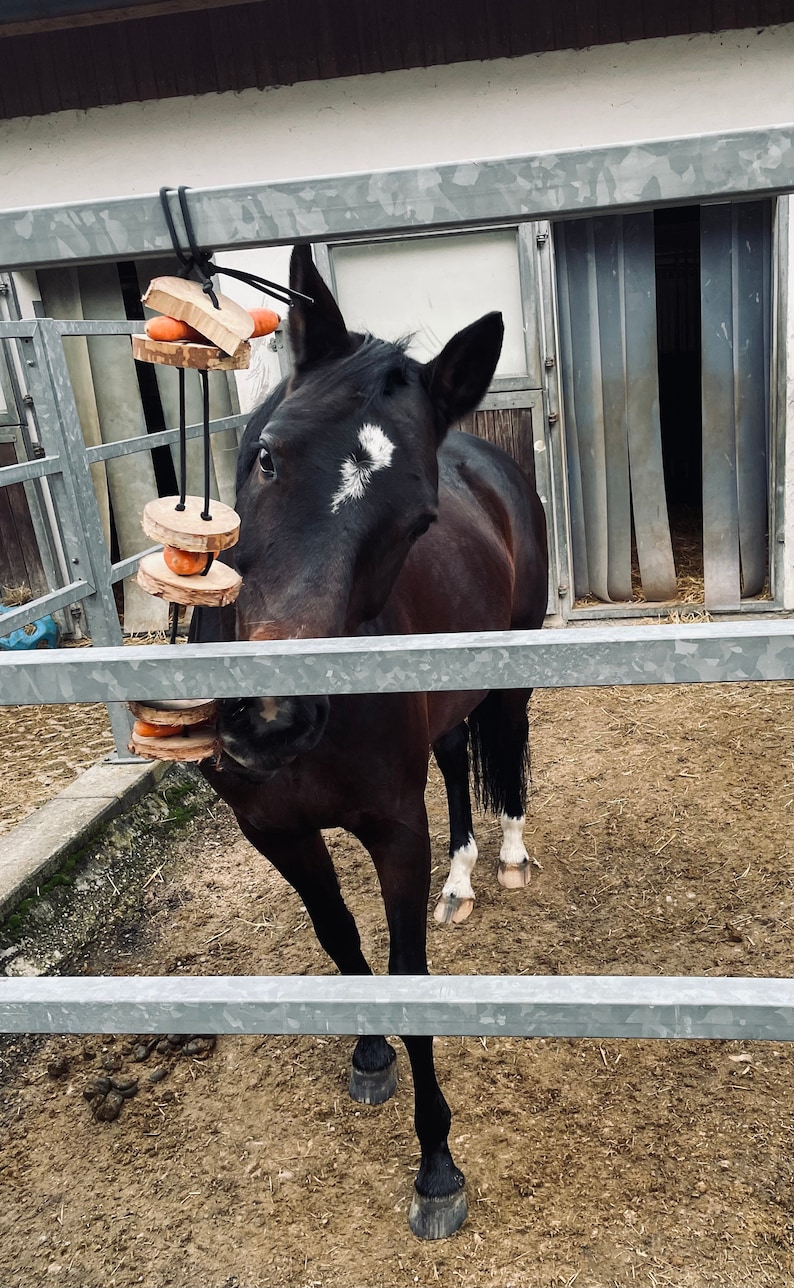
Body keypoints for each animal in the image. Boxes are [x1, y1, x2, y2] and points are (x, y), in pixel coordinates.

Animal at [195, 242, 549, 1236]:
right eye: (266, 458)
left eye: (417, 519)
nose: (270, 716)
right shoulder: (274, 831)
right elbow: (340, 939)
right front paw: (367, 1052)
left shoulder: (393, 831)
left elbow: (405, 972)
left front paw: (437, 1167)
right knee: (456, 760)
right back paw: (461, 881)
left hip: (512, 671)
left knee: (507, 750)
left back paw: (507, 856)